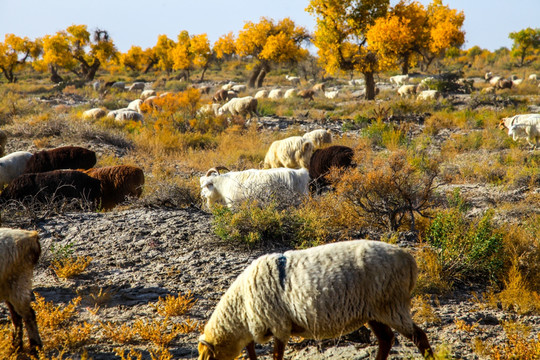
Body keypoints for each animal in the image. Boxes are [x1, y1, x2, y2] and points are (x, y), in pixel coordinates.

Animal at [198, 239, 434, 360]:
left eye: (207, 358)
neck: (241, 309)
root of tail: (409, 259)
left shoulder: (279, 325)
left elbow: (275, 355)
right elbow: (252, 352)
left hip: (391, 304)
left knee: (419, 337)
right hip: (374, 311)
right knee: (386, 339)